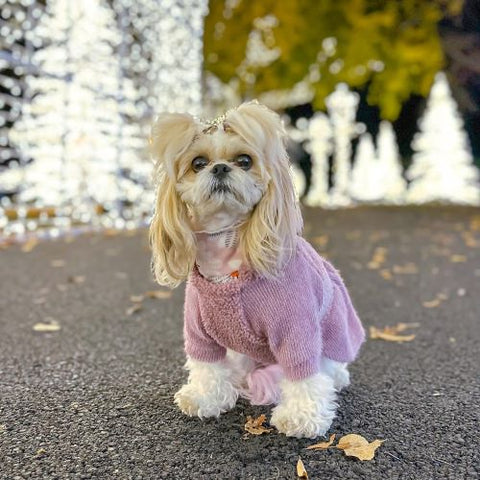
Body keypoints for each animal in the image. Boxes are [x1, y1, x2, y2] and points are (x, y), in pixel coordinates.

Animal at [150, 101, 364, 438]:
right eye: (198, 163)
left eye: (244, 160)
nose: (220, 168)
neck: (226, 257)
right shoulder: (198, 330)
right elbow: (207, 365)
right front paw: (205, 397)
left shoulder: (296, 328)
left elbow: (302, 373)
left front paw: (301, 416)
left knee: (329, 368)